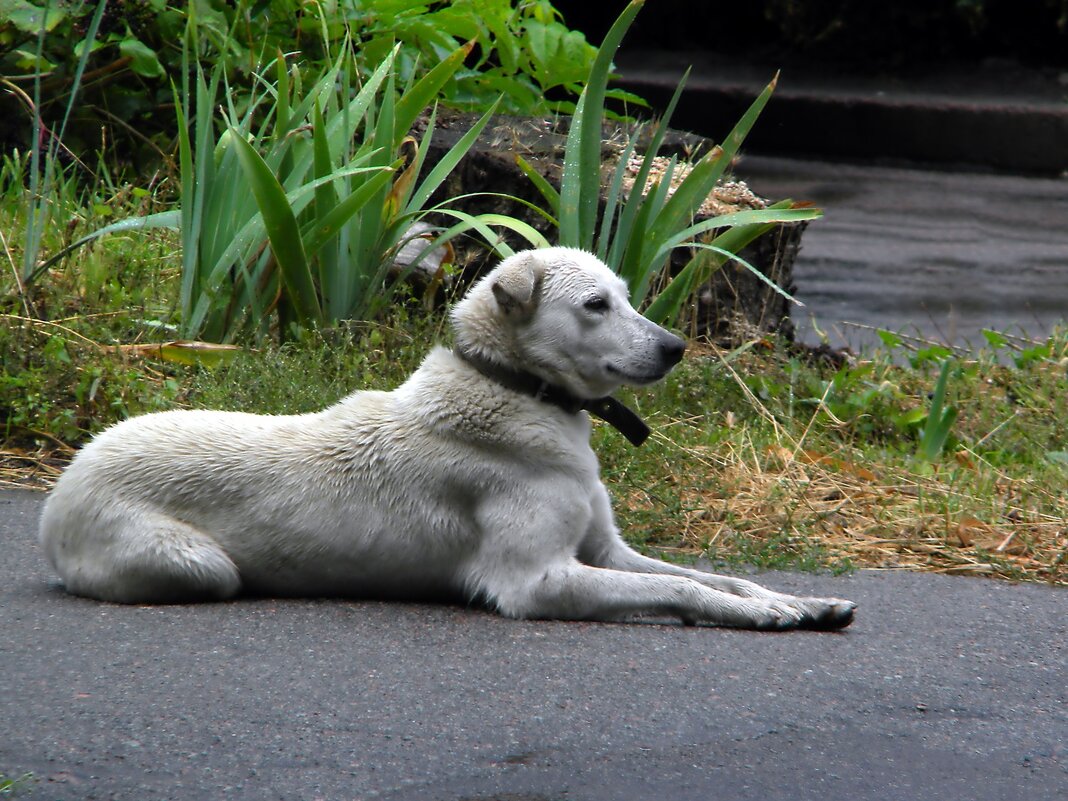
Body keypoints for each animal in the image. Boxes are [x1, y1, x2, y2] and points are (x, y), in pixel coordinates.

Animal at [41, 247, 854, 632]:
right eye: (596, 305)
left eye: (626, 297)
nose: (678, 348)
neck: (517, 390)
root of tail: (59, 490)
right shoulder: (538, 581)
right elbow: (683, 588)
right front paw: (763, 615)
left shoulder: (606, 552)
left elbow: (715, 577)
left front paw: (796, 601)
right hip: (200, 565)